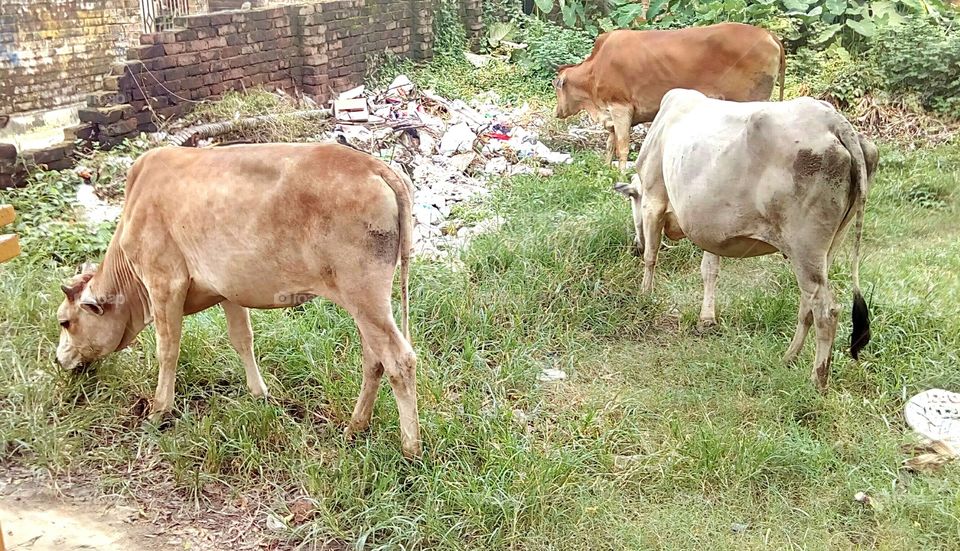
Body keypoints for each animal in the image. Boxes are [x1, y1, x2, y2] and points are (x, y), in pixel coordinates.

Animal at [55, 143, 421, 458]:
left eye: (65, 321)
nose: (60, 360)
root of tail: (374, 166)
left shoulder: (164, 283)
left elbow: (167, 350)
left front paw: (159, 411)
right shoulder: (226, 289)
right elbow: (242, 339)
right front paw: (259, 394)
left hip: (364, 295)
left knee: (399, 359)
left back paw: (411, 449)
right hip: (365, 303)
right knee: (374, 360)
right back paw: (355, 428)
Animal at [554, 22, 786, 170]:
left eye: (557, 87)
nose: (557, 112)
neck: (595, 70)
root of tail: (767, 34)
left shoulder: (620, 107)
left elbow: (622, 145)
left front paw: (620, 174)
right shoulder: (612, 114)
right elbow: (611, 144)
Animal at [614, 89, 879, 390]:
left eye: (633, 201)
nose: (635, 246)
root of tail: (833, 120)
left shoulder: (653, 199)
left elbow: (652, 256)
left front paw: (644, 296)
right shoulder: (710, 228)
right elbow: (709, 270)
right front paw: (707, 319)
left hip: (805, 247)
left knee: (826, 310)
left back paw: (817, 381)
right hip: (829, 246)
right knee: (808, 304)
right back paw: (789, 357)